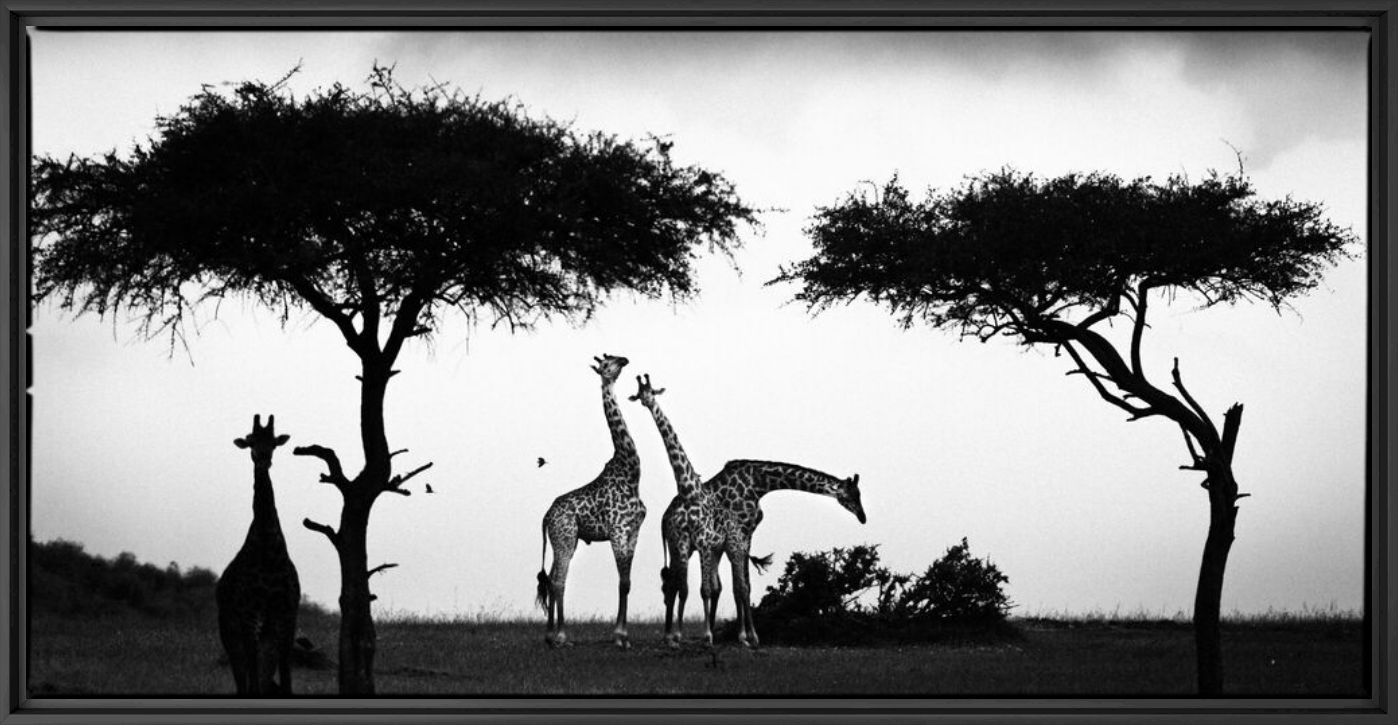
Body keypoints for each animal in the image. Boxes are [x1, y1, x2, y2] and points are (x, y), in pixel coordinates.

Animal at [215, 413, 300, 698]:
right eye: (250, 441)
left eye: (273, 442)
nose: (263, 459)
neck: (269, 549)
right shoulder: (249, 616)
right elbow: (251, 670)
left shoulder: (287, 614)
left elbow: (285, 671)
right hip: (229, 630)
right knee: (242, 675)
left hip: (267, 633)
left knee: (263, 673)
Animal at [534, 354, 643, 650]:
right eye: (607, 363)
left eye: (615, 356)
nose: (625, 359)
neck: (631, 472)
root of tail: (546, 516)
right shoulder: (617, 531)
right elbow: (622, 581)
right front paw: (619, 635)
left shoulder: (634, 531)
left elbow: (627, 582)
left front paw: (624, 636)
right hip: (565, 537)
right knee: (558, 580)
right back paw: (561, 636)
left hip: (565, 540)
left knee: (551, 578)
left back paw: (549, 636)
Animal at [704, 460, 855, 648]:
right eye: (851, 495)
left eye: (858, 494)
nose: (862, 516)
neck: (758, 483)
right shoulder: (737, 535)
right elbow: (739, 585)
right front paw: (746, 636)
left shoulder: (745, 537)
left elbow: (742, 585)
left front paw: (747, 635)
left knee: (716, 585)